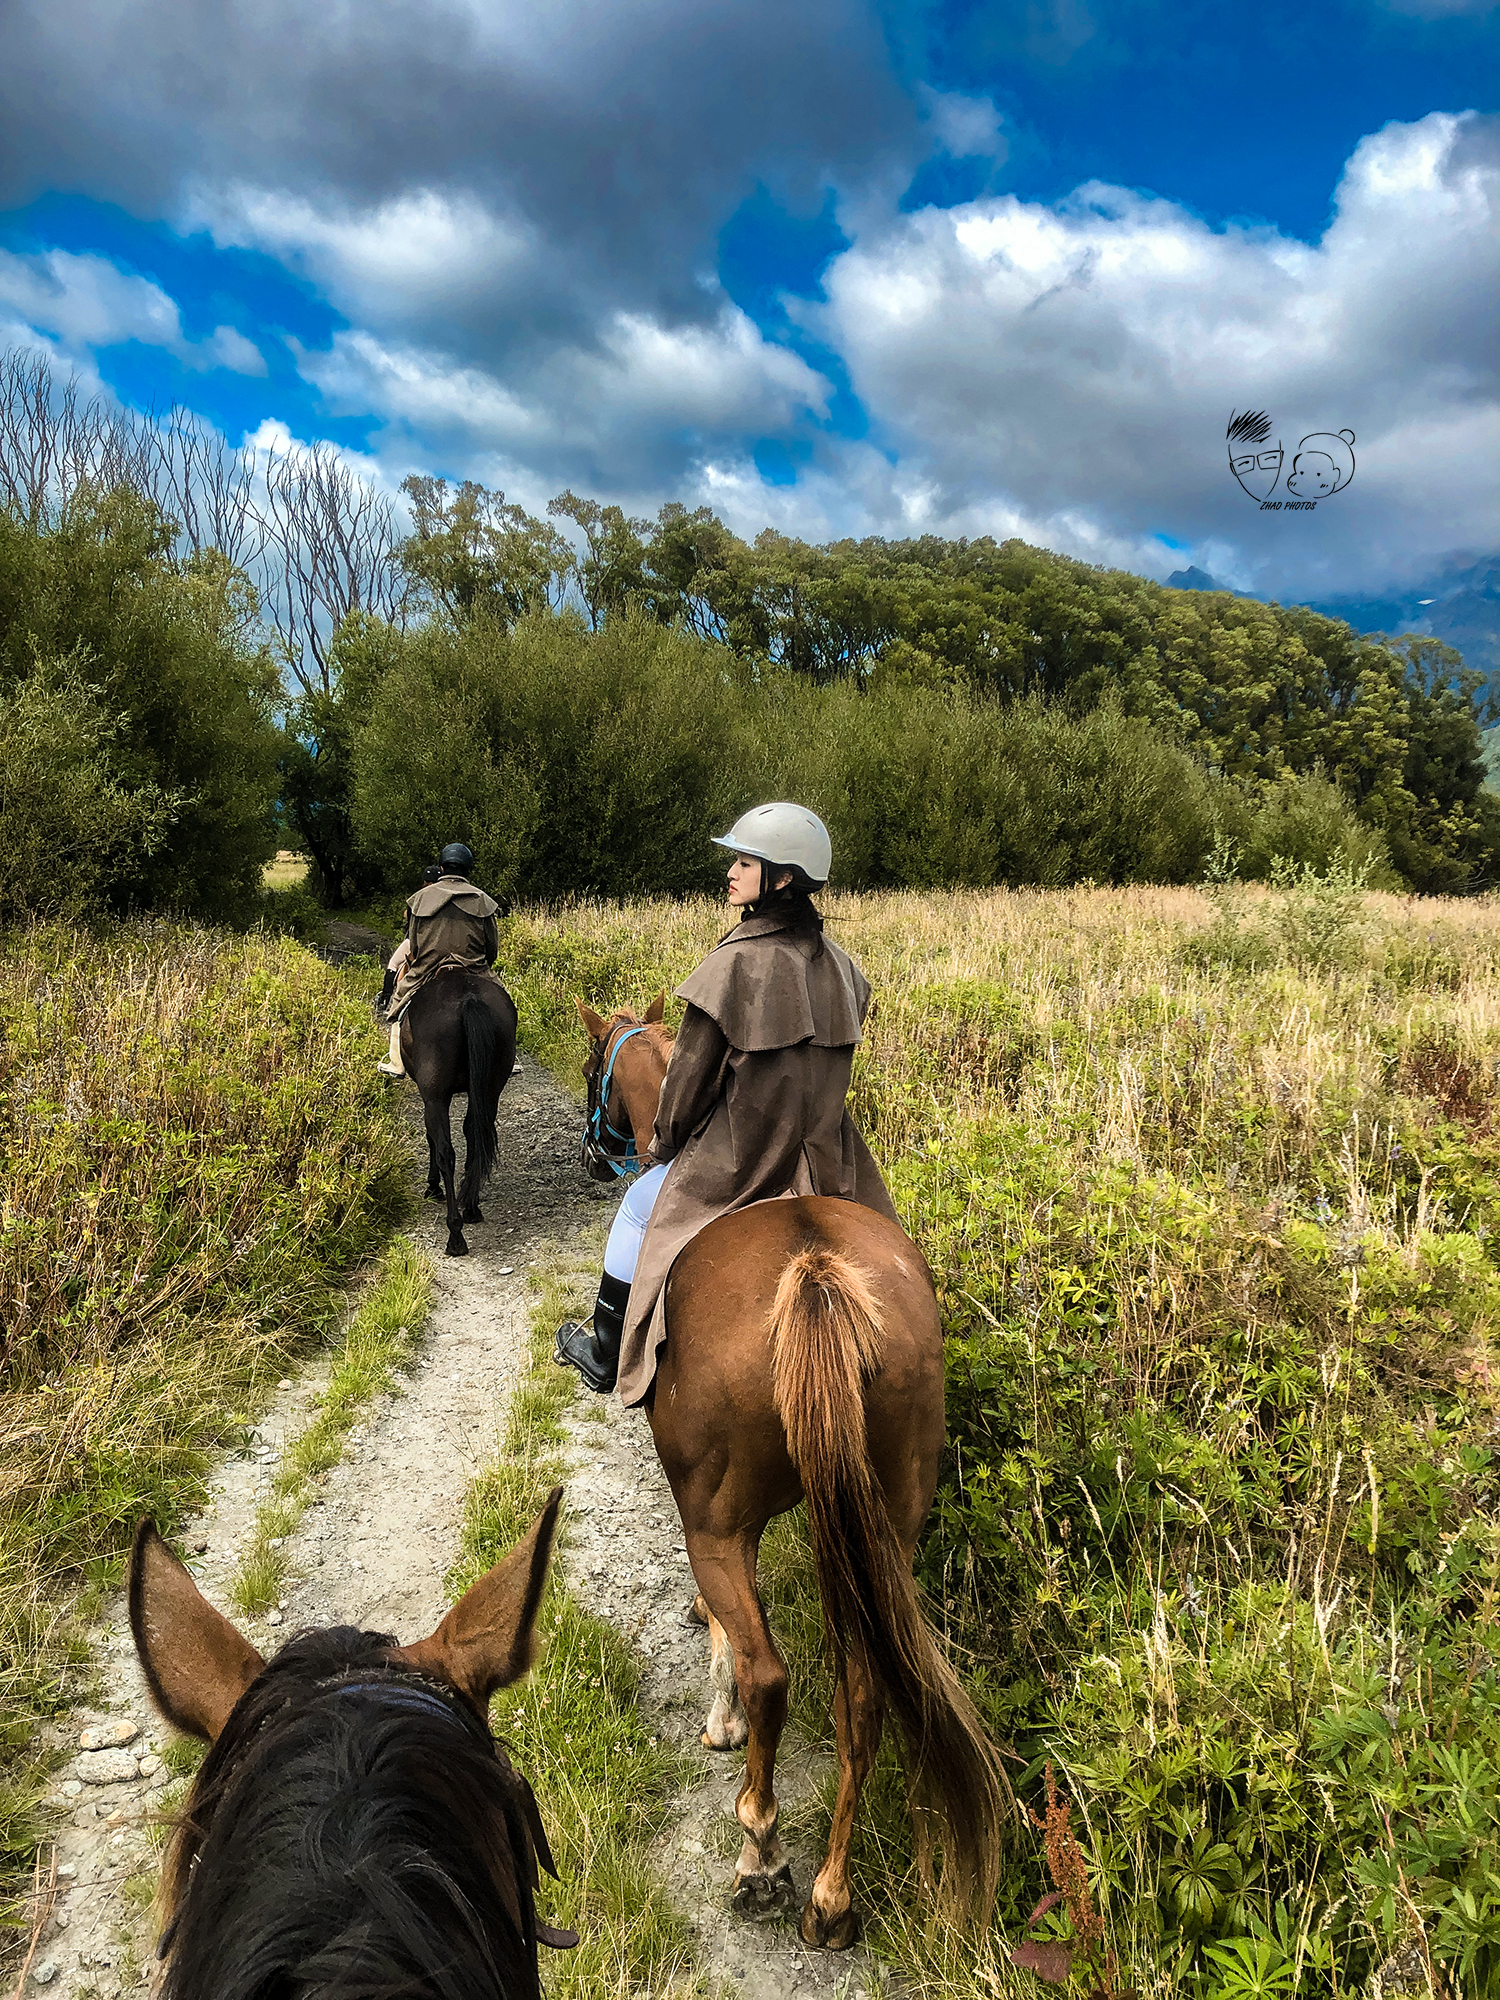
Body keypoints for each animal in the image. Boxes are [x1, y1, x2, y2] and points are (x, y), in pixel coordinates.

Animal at [402, 964, 520, 1248]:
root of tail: (469, 1000)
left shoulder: (431, 1097)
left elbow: (431, 1137)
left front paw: (433, 1186)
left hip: (436, 1095)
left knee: (447, 1152)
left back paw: (455, 1233)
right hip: (491, 1088)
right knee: (476, 1135)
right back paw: (471, 1207)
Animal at [576, 1008, 1012, 1944]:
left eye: (598, 1068)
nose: (600, 1153)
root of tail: (815, 1277)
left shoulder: (713, 1519)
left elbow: (732, 1639)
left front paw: (719, 1718)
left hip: (716, 1520)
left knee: (772, 1676)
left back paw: (762, 1857)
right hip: (890, 1521)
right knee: (863, 1700)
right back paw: (831, 1896)